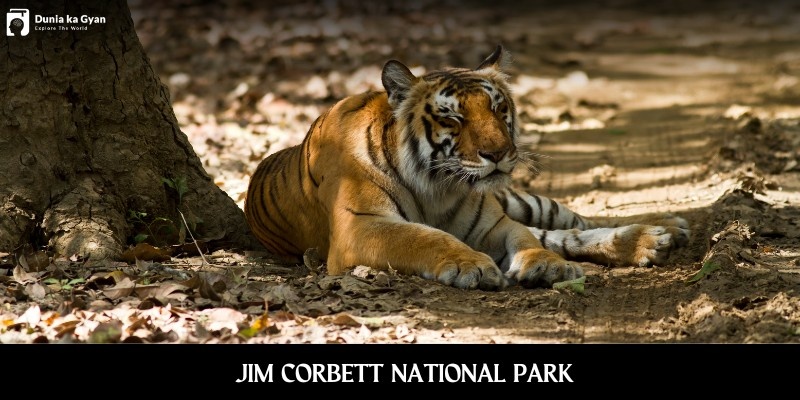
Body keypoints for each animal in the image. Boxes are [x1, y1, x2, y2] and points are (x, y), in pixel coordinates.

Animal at [245, 45, 690, 290]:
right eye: (453, 118)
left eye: (498, 108)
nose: (499, 153)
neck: (436, 186)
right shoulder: (361, 227)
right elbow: (423, 237)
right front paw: (470, 265)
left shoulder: (494, 223)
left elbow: (525, 238)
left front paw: (545, 265)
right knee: (560, 233)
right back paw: (657, 238)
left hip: (521, 201)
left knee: (569, 224)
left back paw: (661, 231)